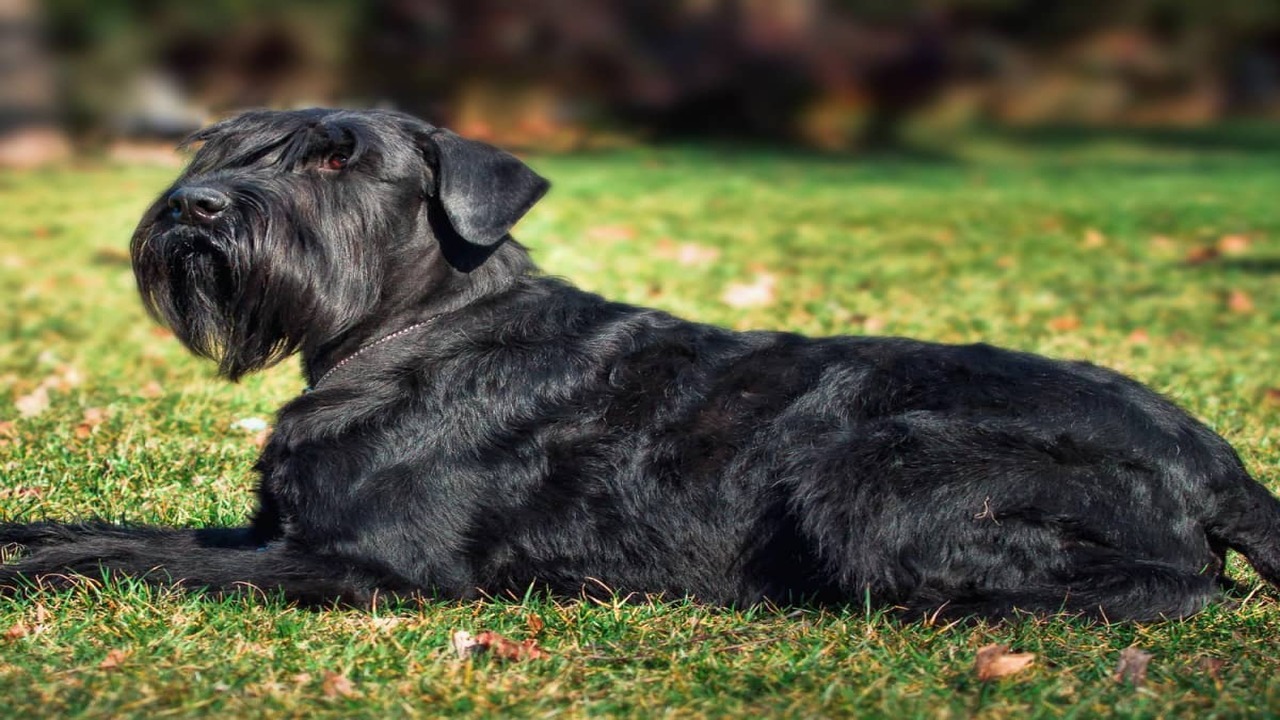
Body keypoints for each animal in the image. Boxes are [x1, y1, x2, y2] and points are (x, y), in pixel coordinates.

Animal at [2, 106, 1280, 617]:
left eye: (334, 157)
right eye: (221, 144)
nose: (196, 206)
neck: (412, 332)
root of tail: (1220, 468)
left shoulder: (363, 567)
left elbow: (142, 559)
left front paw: (36, 570)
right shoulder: (285, 535)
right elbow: (131, 532)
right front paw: (30, 532)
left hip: (879, 472)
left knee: (1173, 590)